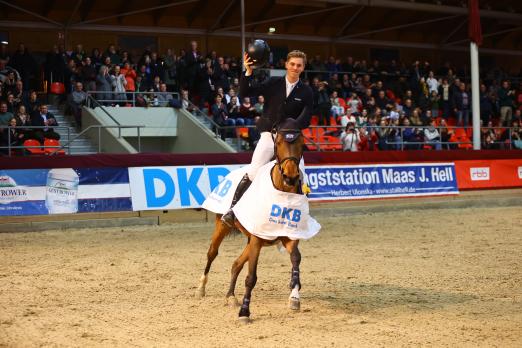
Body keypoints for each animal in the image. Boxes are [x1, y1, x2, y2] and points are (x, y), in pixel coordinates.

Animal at [195, 123, 302, 322]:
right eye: (279, 142)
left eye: (302, 144)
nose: (290, 177)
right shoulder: (257, 240)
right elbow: (251, 277)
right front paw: (245, 313)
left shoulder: (288, 237)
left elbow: (296, 259)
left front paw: (294, 297)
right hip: (222, 226)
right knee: (212, 254)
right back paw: (201, 288)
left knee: (236, 263)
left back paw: (230, 296)